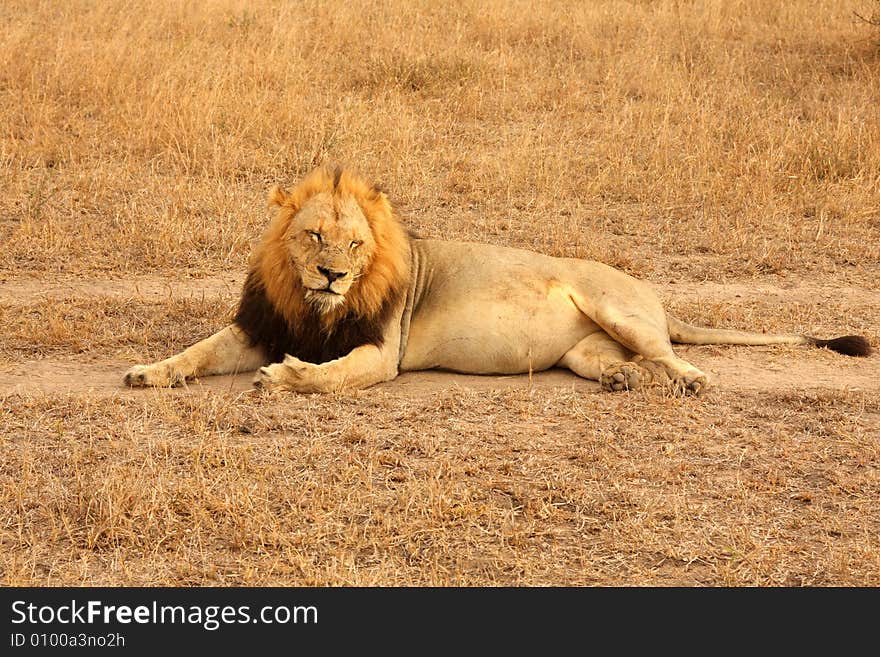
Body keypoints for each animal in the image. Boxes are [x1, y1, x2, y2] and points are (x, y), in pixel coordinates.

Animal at [124, 167, 872, 398]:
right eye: (313, 236)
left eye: (355, 244)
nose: (334, 274)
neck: (312, 306)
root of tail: (656, 296)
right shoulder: (259, 325)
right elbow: (195, 352)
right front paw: (147, 372)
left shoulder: (380, 352)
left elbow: (328, 376)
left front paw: (286, 376)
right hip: (586, 348)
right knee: (621, 362)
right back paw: (623, 379)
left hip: (615, 307)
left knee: (673, 357)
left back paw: (689, 380)